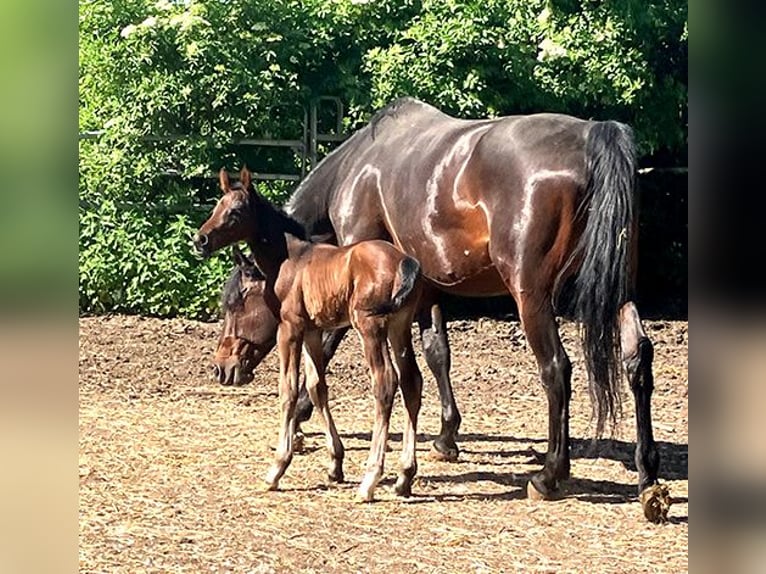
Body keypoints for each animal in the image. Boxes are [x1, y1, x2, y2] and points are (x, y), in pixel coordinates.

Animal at [196, 167, 426, 502]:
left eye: (235, 211)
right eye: (216, 206)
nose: (200, 240)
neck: (291, 259)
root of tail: (404, 262)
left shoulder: (289, 329)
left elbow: (288, 390)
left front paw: (277, 468)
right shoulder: (312, 331)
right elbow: (317, 387)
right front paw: (335, 464)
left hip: (370, 328)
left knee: (385, 384)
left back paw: (370, 480)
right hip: (399, 328)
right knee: (411, 382)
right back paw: (404, 476)